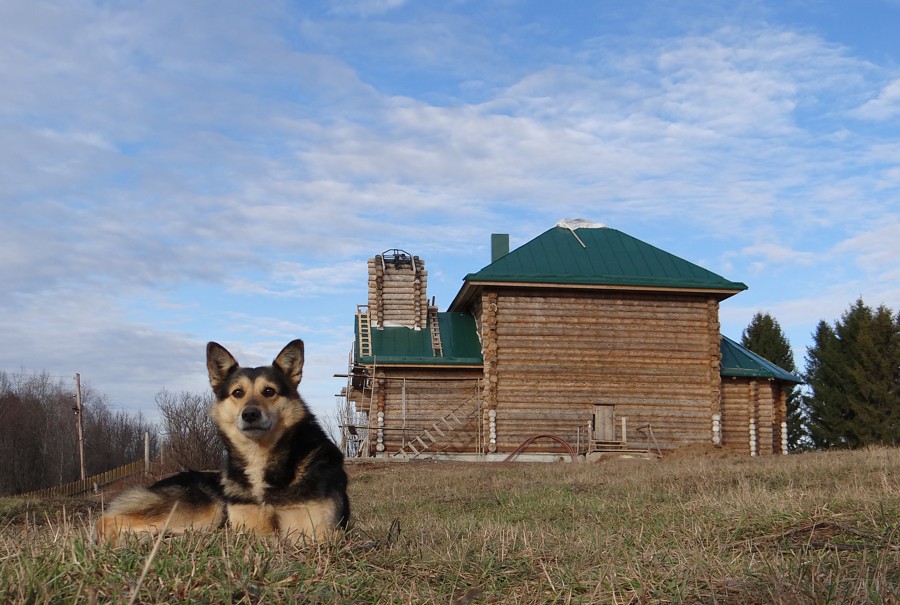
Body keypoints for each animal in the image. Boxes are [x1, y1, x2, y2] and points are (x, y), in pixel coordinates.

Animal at [96, 340, 350, 544]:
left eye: (269, 391)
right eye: (237, 393)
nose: (250, 414)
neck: (259, 457)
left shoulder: (316, 530)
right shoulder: (248, 527)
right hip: (206, 507)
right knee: (106, 520)